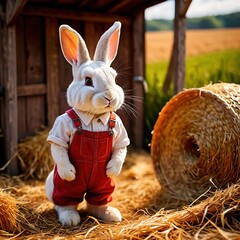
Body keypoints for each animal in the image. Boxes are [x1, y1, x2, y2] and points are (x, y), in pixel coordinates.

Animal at [46, 21, 130, 226]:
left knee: (96, 200)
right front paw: (69, 172)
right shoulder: (59, 129)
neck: (94, 117)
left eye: (114, 78)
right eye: (88, 80)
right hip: (61, 187)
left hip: (102, 186)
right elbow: (58, 148)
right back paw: (69, 217)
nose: (110, 96)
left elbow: (120, 150)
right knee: (65, 201)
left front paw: (112, 170)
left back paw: (108, 213)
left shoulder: (120, 133)